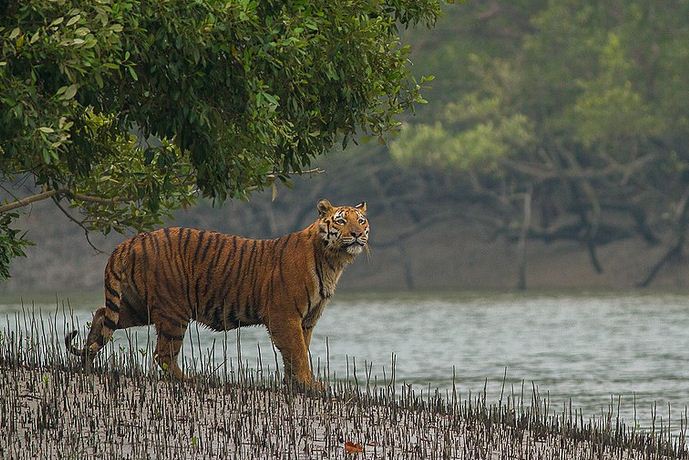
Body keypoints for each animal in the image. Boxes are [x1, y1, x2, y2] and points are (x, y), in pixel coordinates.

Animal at [65, 198, 368, 388]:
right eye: (341, 221)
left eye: (362, 221)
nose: (356, 234)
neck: (333, 261)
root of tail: (131, 240)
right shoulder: (285, 316)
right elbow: (297, 352)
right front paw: (310, 385)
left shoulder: (307, 320)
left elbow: (299, 351)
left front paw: (296, 383)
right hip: (174, 310)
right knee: (163, 353)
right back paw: (189, 380)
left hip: (137, 306)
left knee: (102, 315)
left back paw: (87, 364)